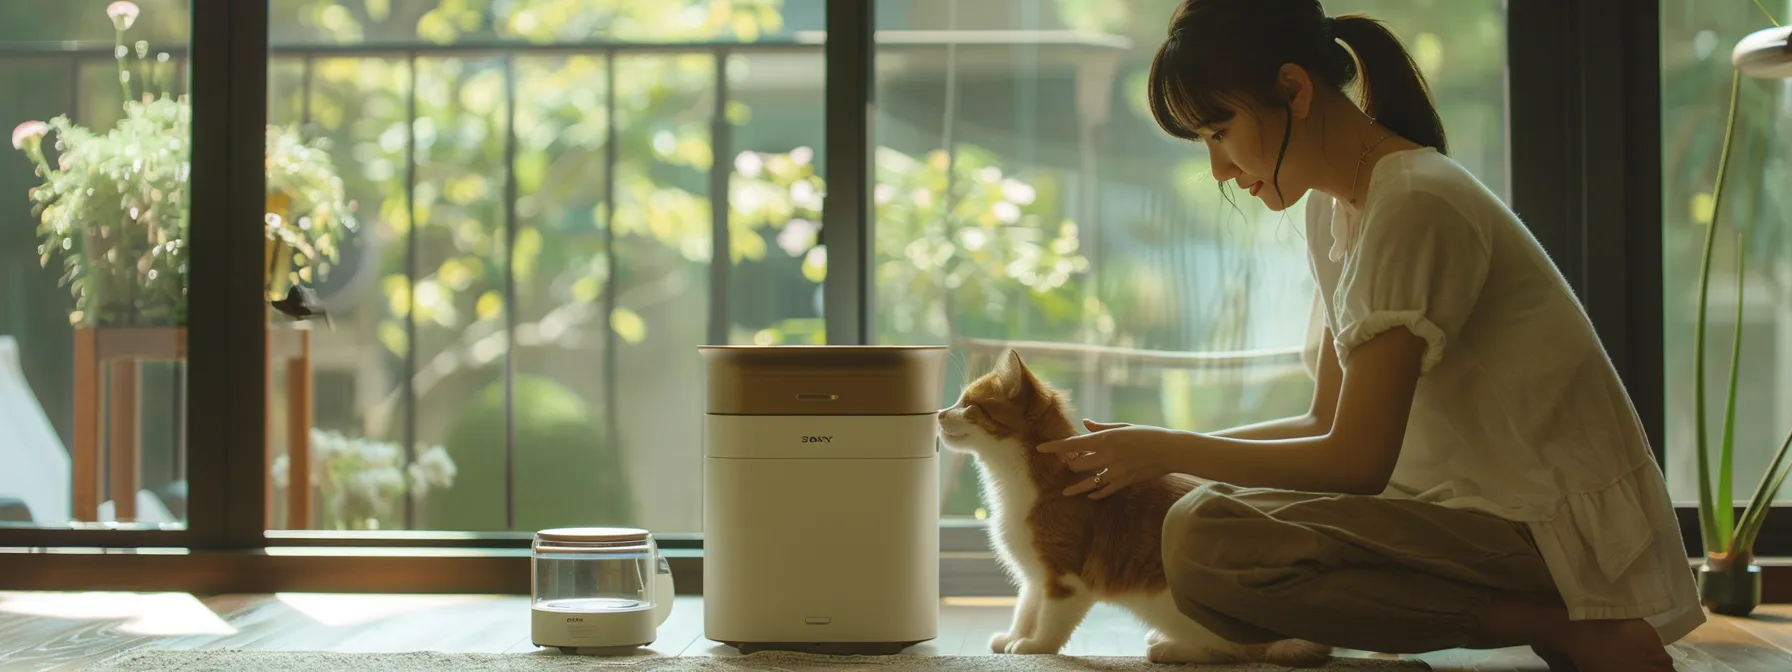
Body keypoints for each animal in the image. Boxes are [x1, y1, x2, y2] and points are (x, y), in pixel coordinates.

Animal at [939, 353, 1333, 670]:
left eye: (970, 405)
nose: (941, 413)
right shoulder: (1036, 575)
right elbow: (1026, 608)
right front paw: (1012, 637)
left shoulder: (1066, 577)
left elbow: (1051, 620)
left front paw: (1034, 647)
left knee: (1240, 652)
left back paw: (1170, 649)